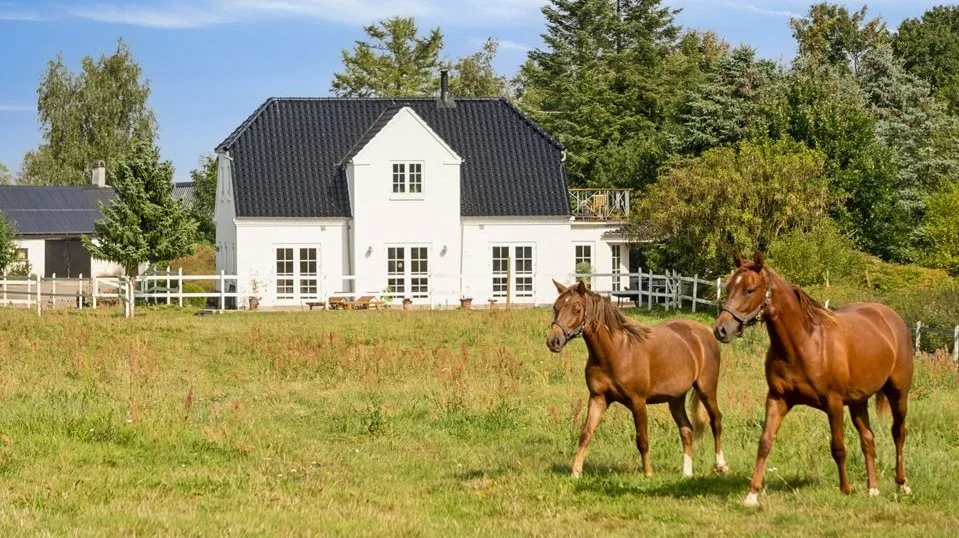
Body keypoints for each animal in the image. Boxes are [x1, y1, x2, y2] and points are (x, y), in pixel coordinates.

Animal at [548, 278, 728, 476]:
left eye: (577, 309)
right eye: (556, 307)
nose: (553, 341)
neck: (616, 351)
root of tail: (706, 332)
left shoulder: (638, 401)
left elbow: (642, 439)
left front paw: (648, 473)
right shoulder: (598, 398)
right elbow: (586, 433)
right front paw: (575, 473)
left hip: (706, 389)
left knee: (716, 420)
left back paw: (721, 465)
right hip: (676, 399)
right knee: (687, 430)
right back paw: (687, 473)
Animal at [712, 249, 916, 504]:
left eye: (749, 289)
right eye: (729, 287)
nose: (721, 330)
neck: (805, 343)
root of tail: (892, 318)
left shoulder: (834, 403)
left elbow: (837, 447)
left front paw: (845, 490)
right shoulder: (777, 398)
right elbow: (765, 442)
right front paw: (752, 494)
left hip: (898, 394)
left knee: (898, 433)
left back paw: (901, 484)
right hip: (858, 401)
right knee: (868, 439)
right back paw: (872, 489)